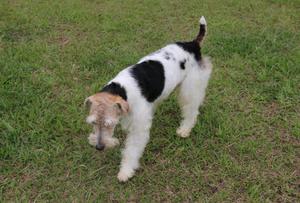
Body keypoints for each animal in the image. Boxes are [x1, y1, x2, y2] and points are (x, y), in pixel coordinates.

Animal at [83, 16, 212, 182]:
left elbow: (131, 151)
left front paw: (125, 171)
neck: (122, 90)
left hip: (190, 87)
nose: (99, 147)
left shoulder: (138, 127)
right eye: (93, 122)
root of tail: (192, 44)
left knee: (191, 111)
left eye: (109, 124)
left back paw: (184, 130)